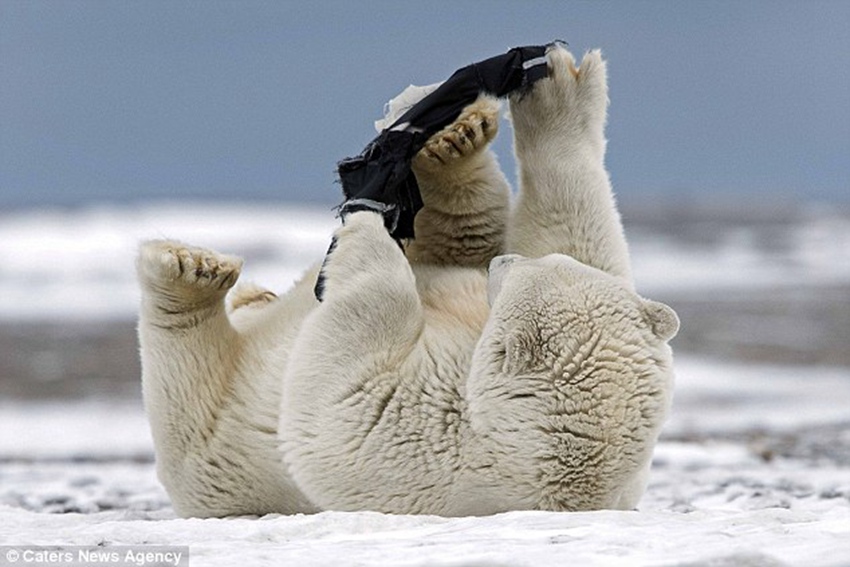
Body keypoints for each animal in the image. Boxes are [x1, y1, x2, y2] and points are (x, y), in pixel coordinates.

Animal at [137, 46, 676, 520]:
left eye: (517, 276)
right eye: (541, 265)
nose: (501, 262)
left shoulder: (429, 442)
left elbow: (336, 403)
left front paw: (369, 203)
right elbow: (576, 234)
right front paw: (558, 89)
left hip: (215, 456)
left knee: (187, 382)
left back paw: (189, 272)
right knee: (463, 232)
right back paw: (455, 139)